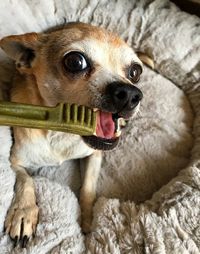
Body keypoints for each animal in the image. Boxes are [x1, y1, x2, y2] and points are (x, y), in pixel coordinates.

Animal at [0, 22, 144, 247]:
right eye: (76, 62)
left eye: (135, 72)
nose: (130, 93)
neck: (62, 134)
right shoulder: (15, 162)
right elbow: (26, 180)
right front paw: (23, 212)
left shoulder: (94, 155)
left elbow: (87, 189)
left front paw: (87, 220)